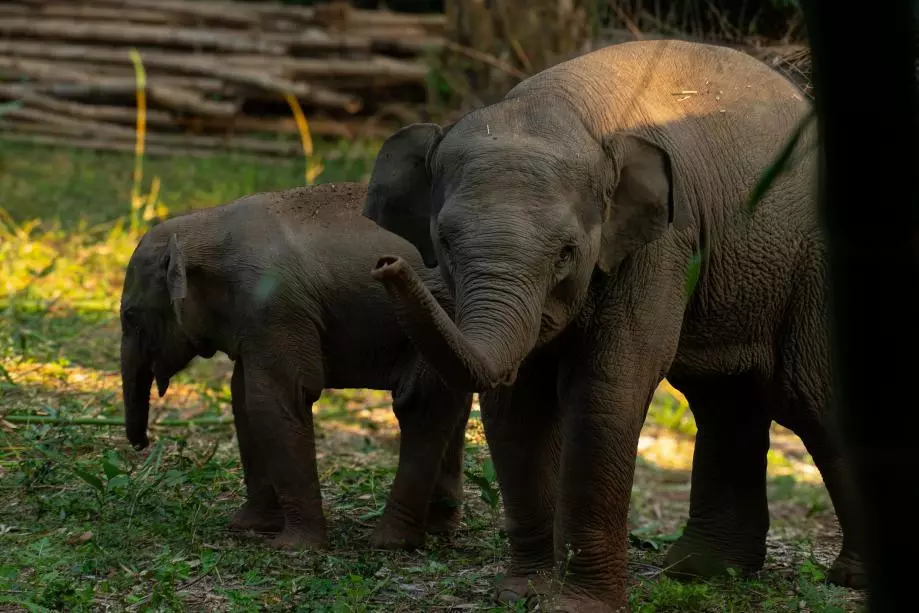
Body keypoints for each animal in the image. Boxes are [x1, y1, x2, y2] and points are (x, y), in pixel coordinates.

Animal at [119, 182, 473, 551]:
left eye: (130, 316)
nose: (142, 444)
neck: (204, 225)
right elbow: (243, 398)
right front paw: (249, 527)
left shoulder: (275, 306)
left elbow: (276, 399)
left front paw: (293, 546)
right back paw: (437, 529)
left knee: (419, 405)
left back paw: (390, 541)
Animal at [360, 39, 865, 611]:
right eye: (444, 243)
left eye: (566, 253)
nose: (386, 265)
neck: (569, 111)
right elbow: (516, 405)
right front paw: (522, 591)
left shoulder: (661, 245)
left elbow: (607, 389)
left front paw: (575, 603)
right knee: (723, 399)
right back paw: (702, 571)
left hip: (813, 268)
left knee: (810, 398)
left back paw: (847, 577)